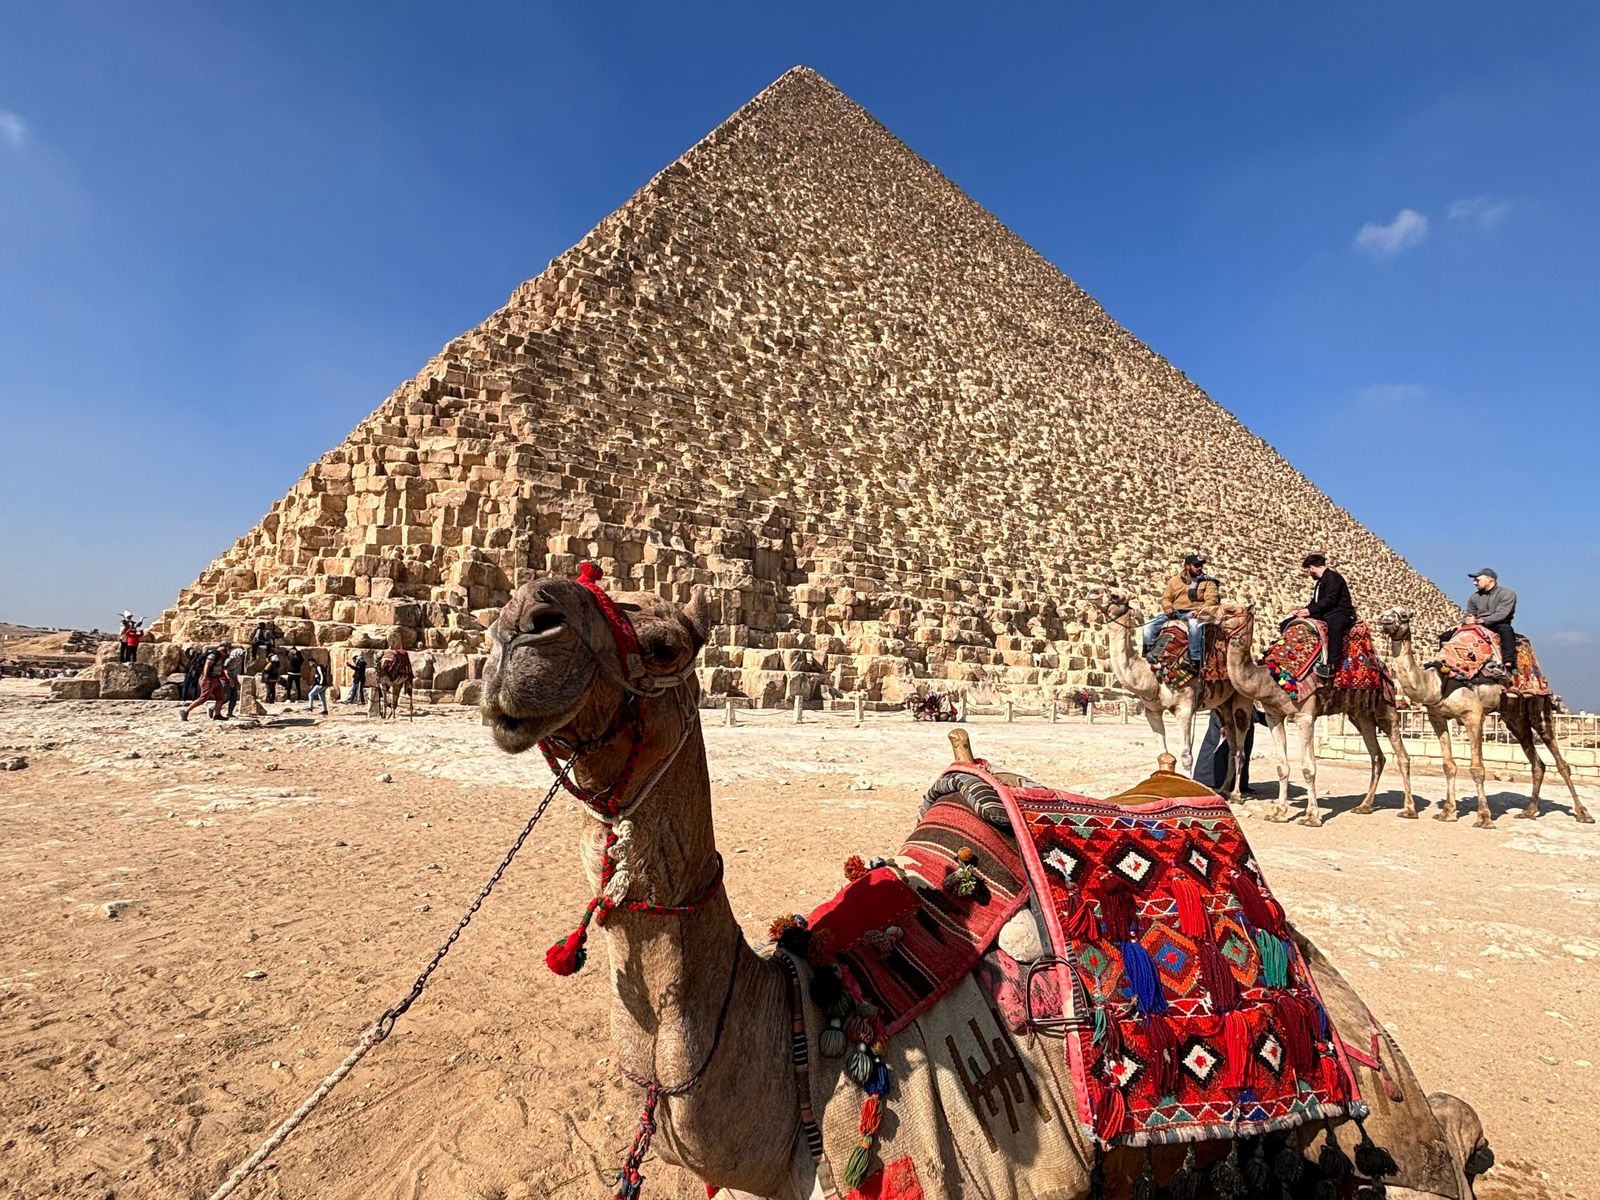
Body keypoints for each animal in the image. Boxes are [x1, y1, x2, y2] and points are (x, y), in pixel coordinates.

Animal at [1086, 589, 1253, 798]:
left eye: (1116, 596)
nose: (1092, 593)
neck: (1154, 672)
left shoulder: (1185, 708)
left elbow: (1186, 756)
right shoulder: (1152, 711)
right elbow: (1162, 753)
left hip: (1241, 700)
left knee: (1240, 746)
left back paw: (1237, 794)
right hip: (1222, 707)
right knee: (1230, 740)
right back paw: (1223, 790)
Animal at [1215, 602, 1414, 827]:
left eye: (1231, 610)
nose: (1203, 614)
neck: (1270, 678)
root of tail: (1383, 667)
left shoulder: (1305, 717)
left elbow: (1308, 768)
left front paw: (1312, 816)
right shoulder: (1274, 716)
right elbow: (1282, 767)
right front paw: (1279, 813)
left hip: (1385, 707)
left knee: (1402, 754)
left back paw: (1409, 810)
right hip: (1359, 714)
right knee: (1377, 756)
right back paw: (1364, 806)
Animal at [1376, 608, 1593, 828]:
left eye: (1404, 615)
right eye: (1386, 612)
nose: (1385, 620)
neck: (1437, 683)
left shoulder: (1473, 715)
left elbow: (1477, 768)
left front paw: (1484, 817)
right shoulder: (1437, 717)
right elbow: (1448, 766)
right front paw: (1448, 812)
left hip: (1538, 706)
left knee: (1559, 759)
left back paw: (1583, 813)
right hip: (1513, 716)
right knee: (1536, 760)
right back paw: (1529, 811)